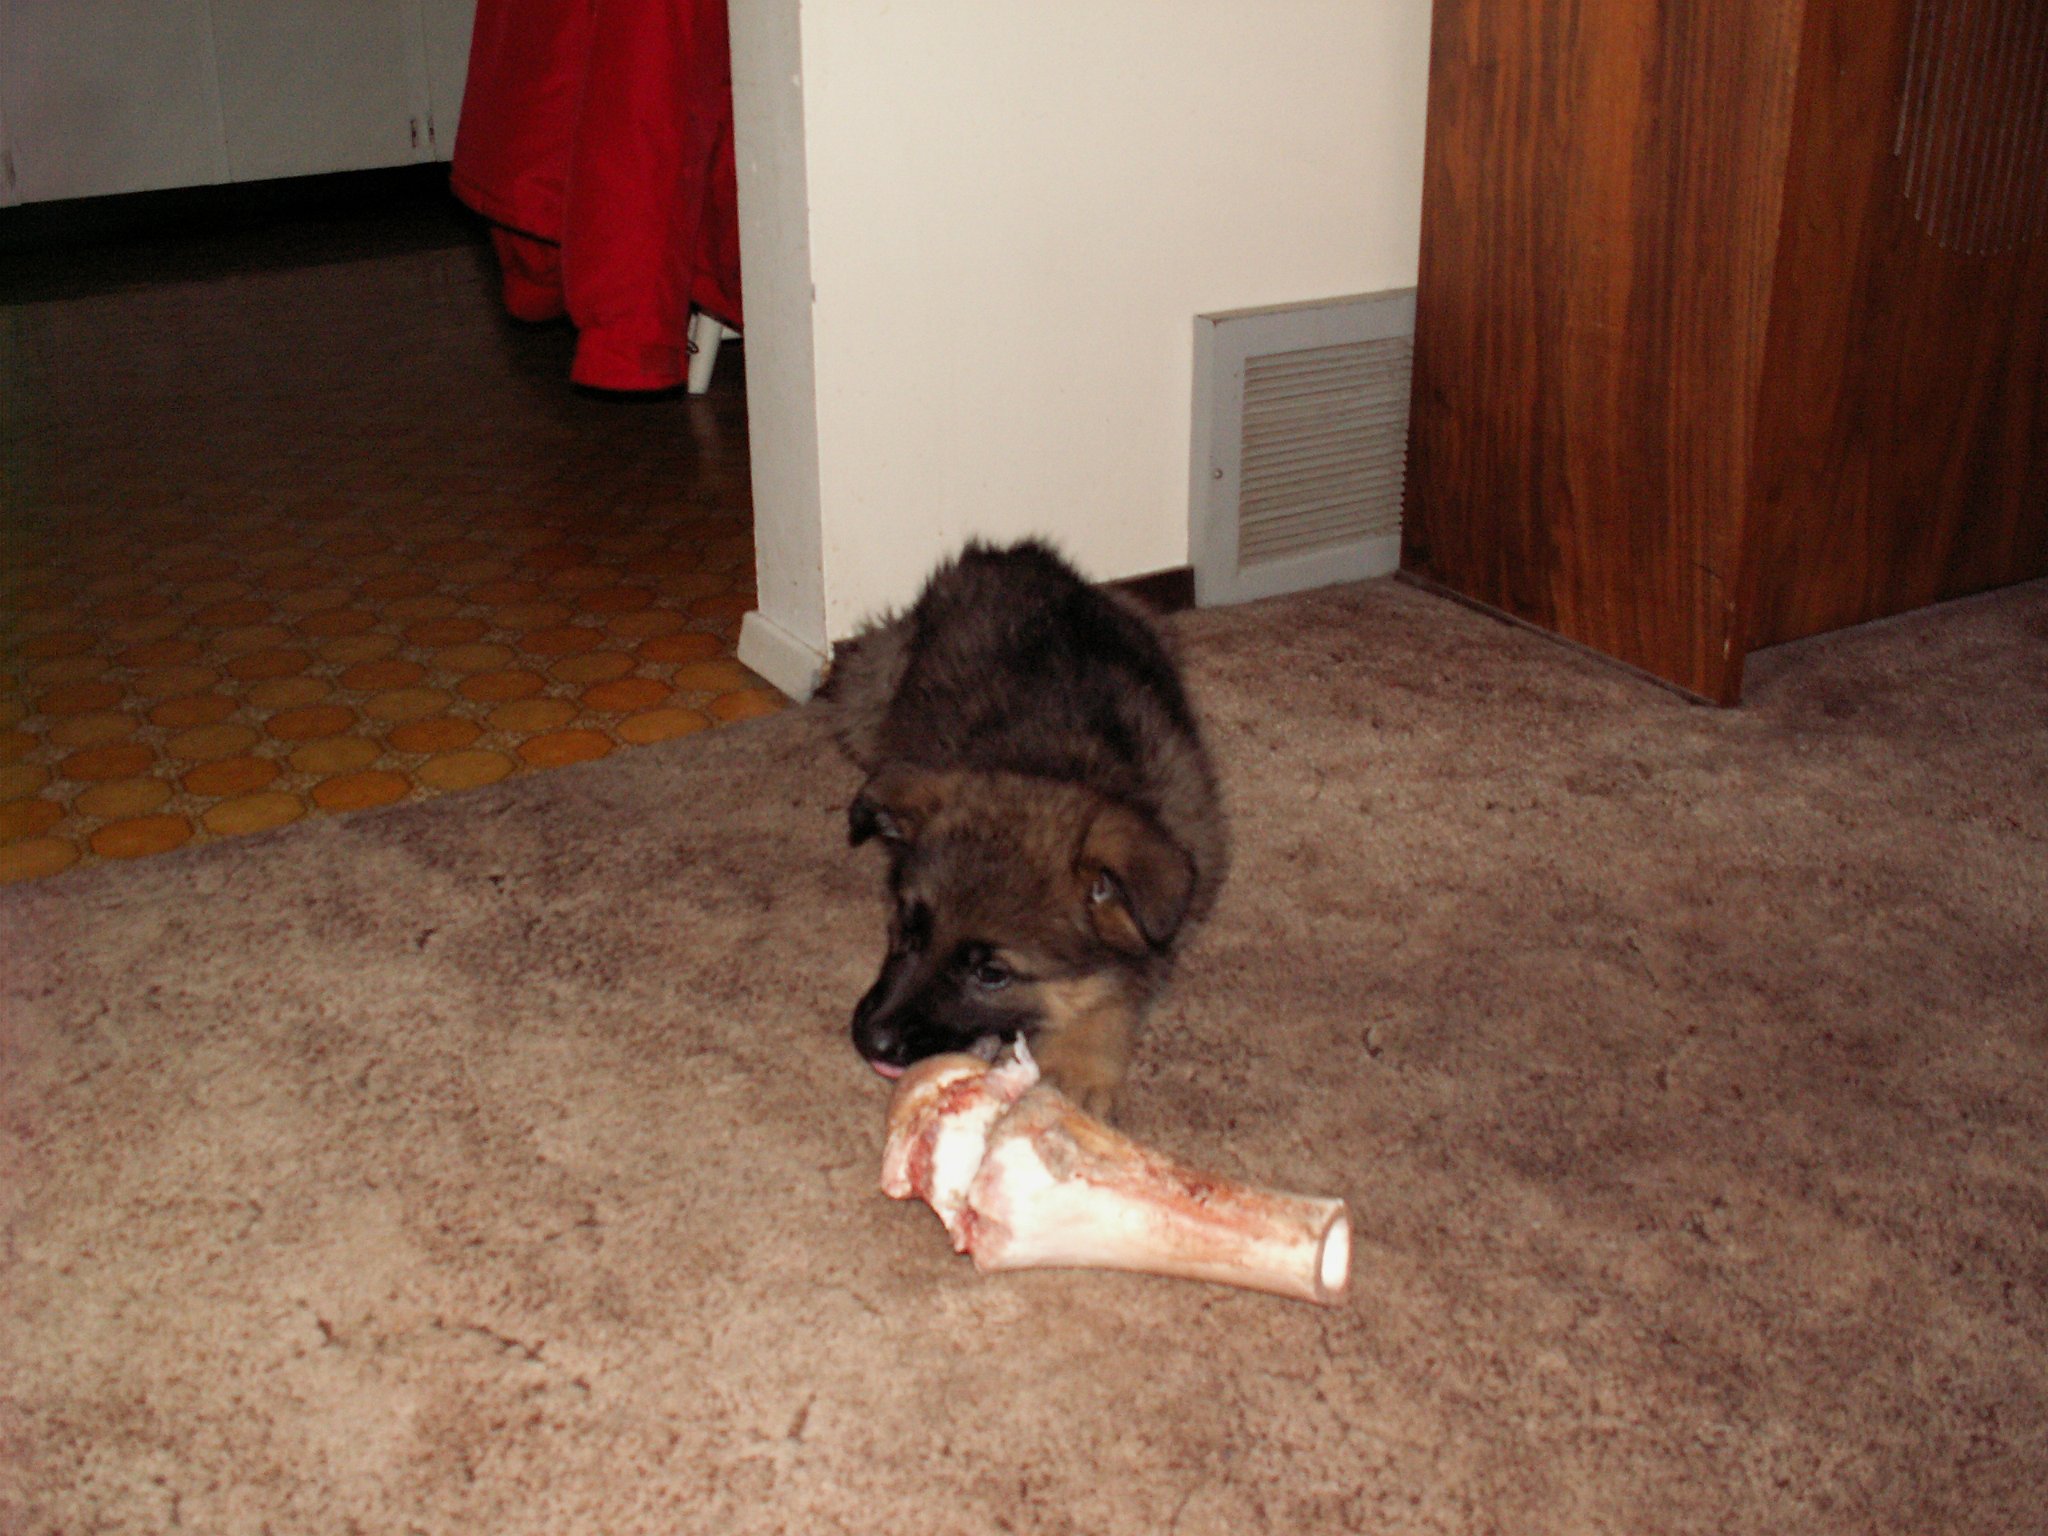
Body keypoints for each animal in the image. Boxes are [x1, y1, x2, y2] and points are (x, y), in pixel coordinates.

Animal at [817, 539, 1227, 1116]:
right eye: (908, 928)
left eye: (992, 974)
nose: (871, 1040)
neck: (1058, 766)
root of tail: (1010, 554)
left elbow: (1124, 980)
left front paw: (1080, 1057)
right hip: (868, 691)